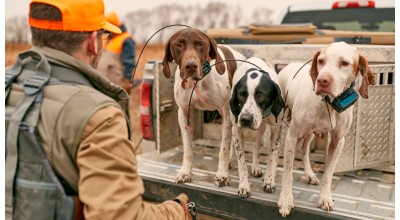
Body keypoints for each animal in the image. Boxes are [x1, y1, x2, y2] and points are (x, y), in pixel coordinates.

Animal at [162, 27, 244, 186]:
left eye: (200, 44)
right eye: (178, 44)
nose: (191, 66)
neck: (198, 81)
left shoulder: (226, 114)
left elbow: (223, 149)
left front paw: (222, 174)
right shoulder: (183, 112)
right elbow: (188, 148)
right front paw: (185, 172)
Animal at [228, 57, 284, 198]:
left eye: (261, 96)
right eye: (241, 95)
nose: (245, 119)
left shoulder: (276, 129)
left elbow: (272, 157)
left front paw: (269, 180)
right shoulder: (237, 129)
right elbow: (242, 163)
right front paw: (243, 186)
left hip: (262, 128)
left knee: (256, 145)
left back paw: (256, 166)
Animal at [274, 41, 376, 217]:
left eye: (344, 63)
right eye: (321, 61)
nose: (322, 80)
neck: (328, 103)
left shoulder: (337, 141)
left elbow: (328, 174)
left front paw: (325, 198)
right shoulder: (292, 136)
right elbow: (287, 171)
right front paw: (286, 199)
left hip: (309, 133)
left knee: (304, 149)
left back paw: (309, 174)